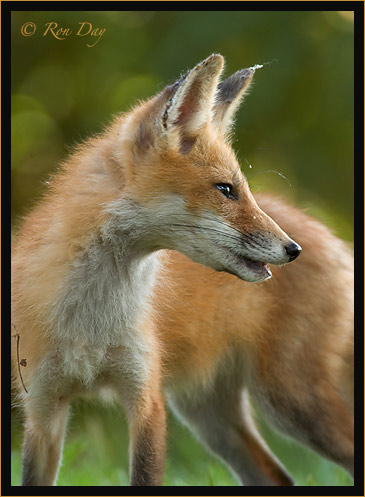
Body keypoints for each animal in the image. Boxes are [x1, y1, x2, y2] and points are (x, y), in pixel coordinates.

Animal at [11, 54, 352, 484]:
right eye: (226, 189)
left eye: (241, 189)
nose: (293, 250)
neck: (90, 320)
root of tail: (329, 234)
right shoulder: (42, 408)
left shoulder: (147, 397)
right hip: (211, 414)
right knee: (275, 476)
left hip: (292, 401)